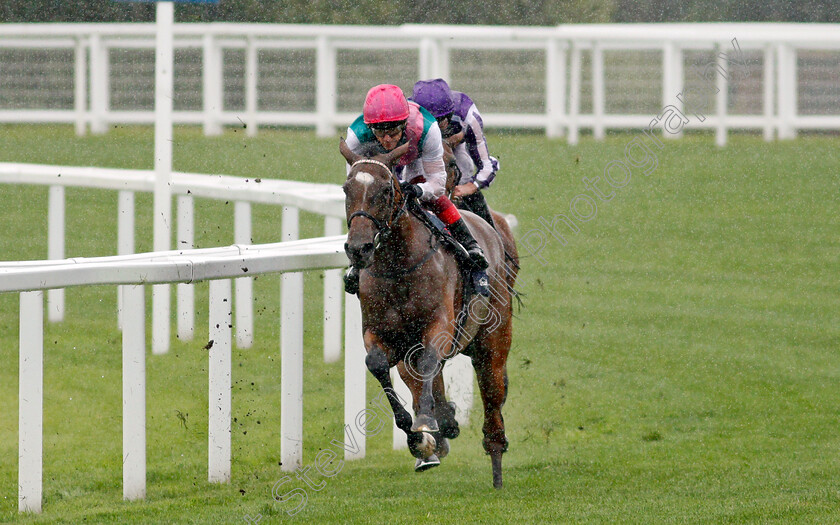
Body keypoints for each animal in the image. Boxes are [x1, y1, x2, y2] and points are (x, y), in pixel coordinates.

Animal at [338, 137, 516, 486]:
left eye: (386, 190)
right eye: (346, 188)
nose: (359, 248)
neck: (399, 266)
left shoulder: (440, 326)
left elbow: (430, 360)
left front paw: (425, 421)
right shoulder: (379, 333)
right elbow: (378, 364)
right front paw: (418, 437)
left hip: (493, 338)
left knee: (492, 396)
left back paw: (496, 460)